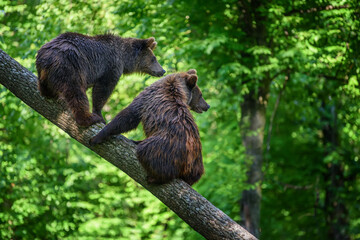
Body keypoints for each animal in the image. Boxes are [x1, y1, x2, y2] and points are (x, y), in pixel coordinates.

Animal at [35, 32, 165, 127]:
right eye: (154, 58)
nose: (163, 71)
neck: (124, 59)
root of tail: (48, 56)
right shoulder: (111, 66)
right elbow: (103, 90)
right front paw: (99, 114)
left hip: (44, 72)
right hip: (69, 66)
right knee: (76, 92)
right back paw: (88, 118)